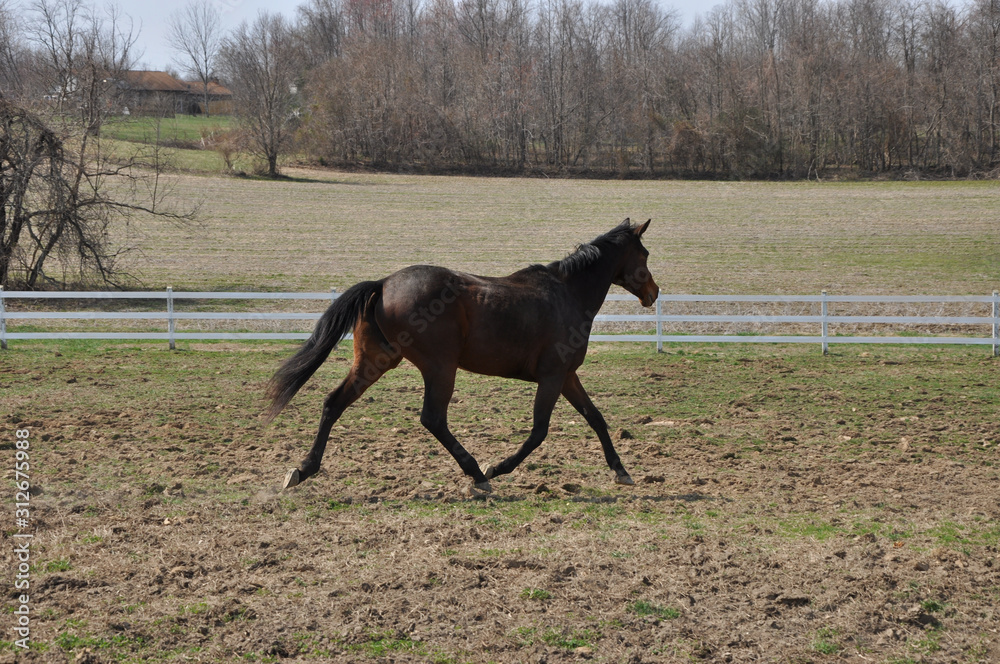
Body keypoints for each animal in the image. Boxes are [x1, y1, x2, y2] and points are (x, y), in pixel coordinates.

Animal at [264, 219, 659, 494]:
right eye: (645, 254)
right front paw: (497, 468)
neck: (568, 294)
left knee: (334, 403)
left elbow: (596, 419)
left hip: (376, 362)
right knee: (433, 418)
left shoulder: (567, 377)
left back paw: (302, 470)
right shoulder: (552, 376)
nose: (654, 293)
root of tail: (383, 284)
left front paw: (621, 471)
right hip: (440, 367)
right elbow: (539, 431)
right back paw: (477, 475)